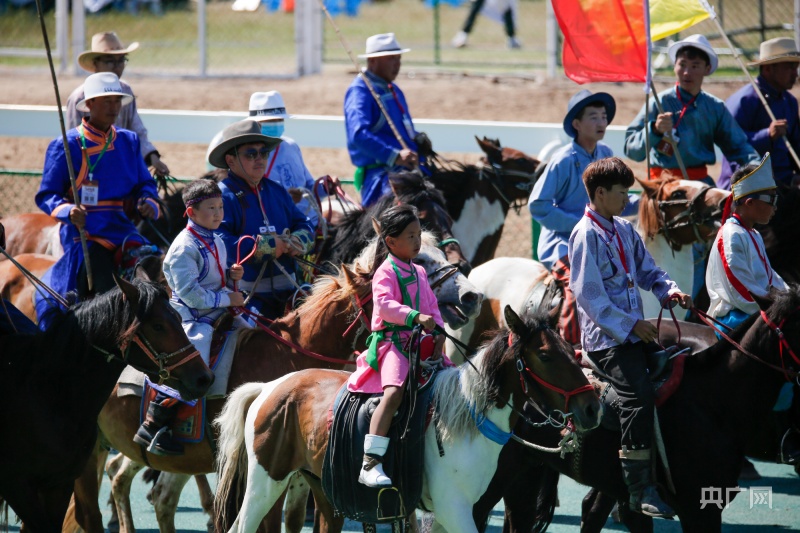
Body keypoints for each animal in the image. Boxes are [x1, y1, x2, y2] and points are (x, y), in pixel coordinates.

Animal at [65, 232, 482, 532]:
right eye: (422, 260)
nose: (472, 296)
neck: (295, 356)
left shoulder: (301, 472)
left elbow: (294, 521)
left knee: (139, 489)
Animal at [212, 304, 600, 532]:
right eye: (546, 356)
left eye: (571, 348)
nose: (592, 408)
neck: (465, 421)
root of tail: (269, 387)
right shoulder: (455, 510)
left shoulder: (455, 512)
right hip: (265, 483)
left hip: (321, 486)